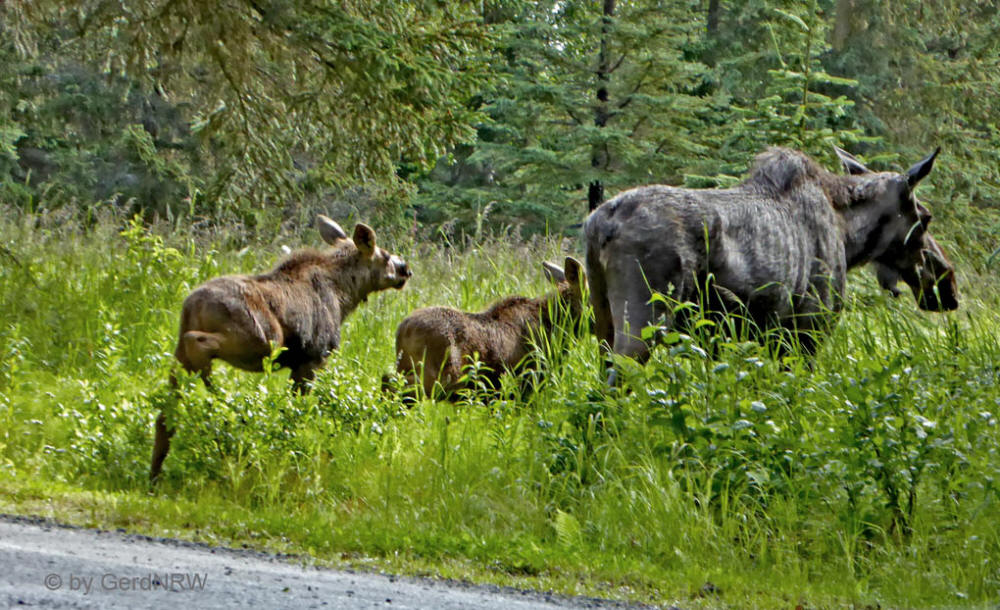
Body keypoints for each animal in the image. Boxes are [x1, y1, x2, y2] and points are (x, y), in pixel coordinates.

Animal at [150, 215, 411, 481]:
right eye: (385, 255)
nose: (405, 268)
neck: (345, 297)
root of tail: (192, 305)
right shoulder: (313, 358)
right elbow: (295, 412)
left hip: (185, 352)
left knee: (164, 415)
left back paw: (156, 474)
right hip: (260, 341)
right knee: (197, 344)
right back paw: (219, 396)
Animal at [584, 146, 957, 378]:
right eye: (925, 218)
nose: (947, 283)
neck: (849, 237)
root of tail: (599, 225)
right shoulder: (807, 332)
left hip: (603, 320)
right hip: (647, 318)